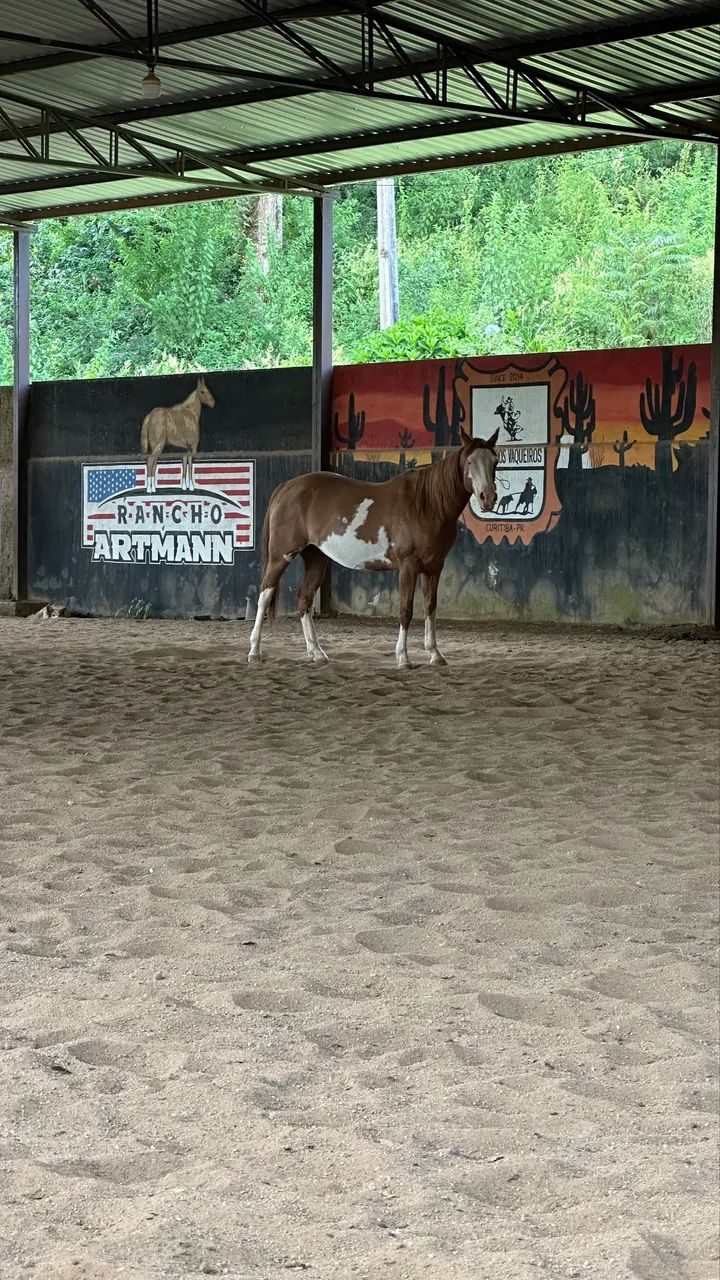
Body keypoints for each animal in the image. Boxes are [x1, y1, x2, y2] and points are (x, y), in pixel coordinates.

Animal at [248, 427, 499, 668]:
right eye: (470, 462)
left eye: (495, 461)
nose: (488, 498)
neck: (426, 505)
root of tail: (286, 487)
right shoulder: (408, 567)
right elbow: (406, 610)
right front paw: (403, 658)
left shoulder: (434, 568)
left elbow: (430, 608)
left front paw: (435, 655)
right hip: (281, 556)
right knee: (264, 595)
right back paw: (254, 652)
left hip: (316, 558)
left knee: (304, 599)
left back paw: (316, 653)